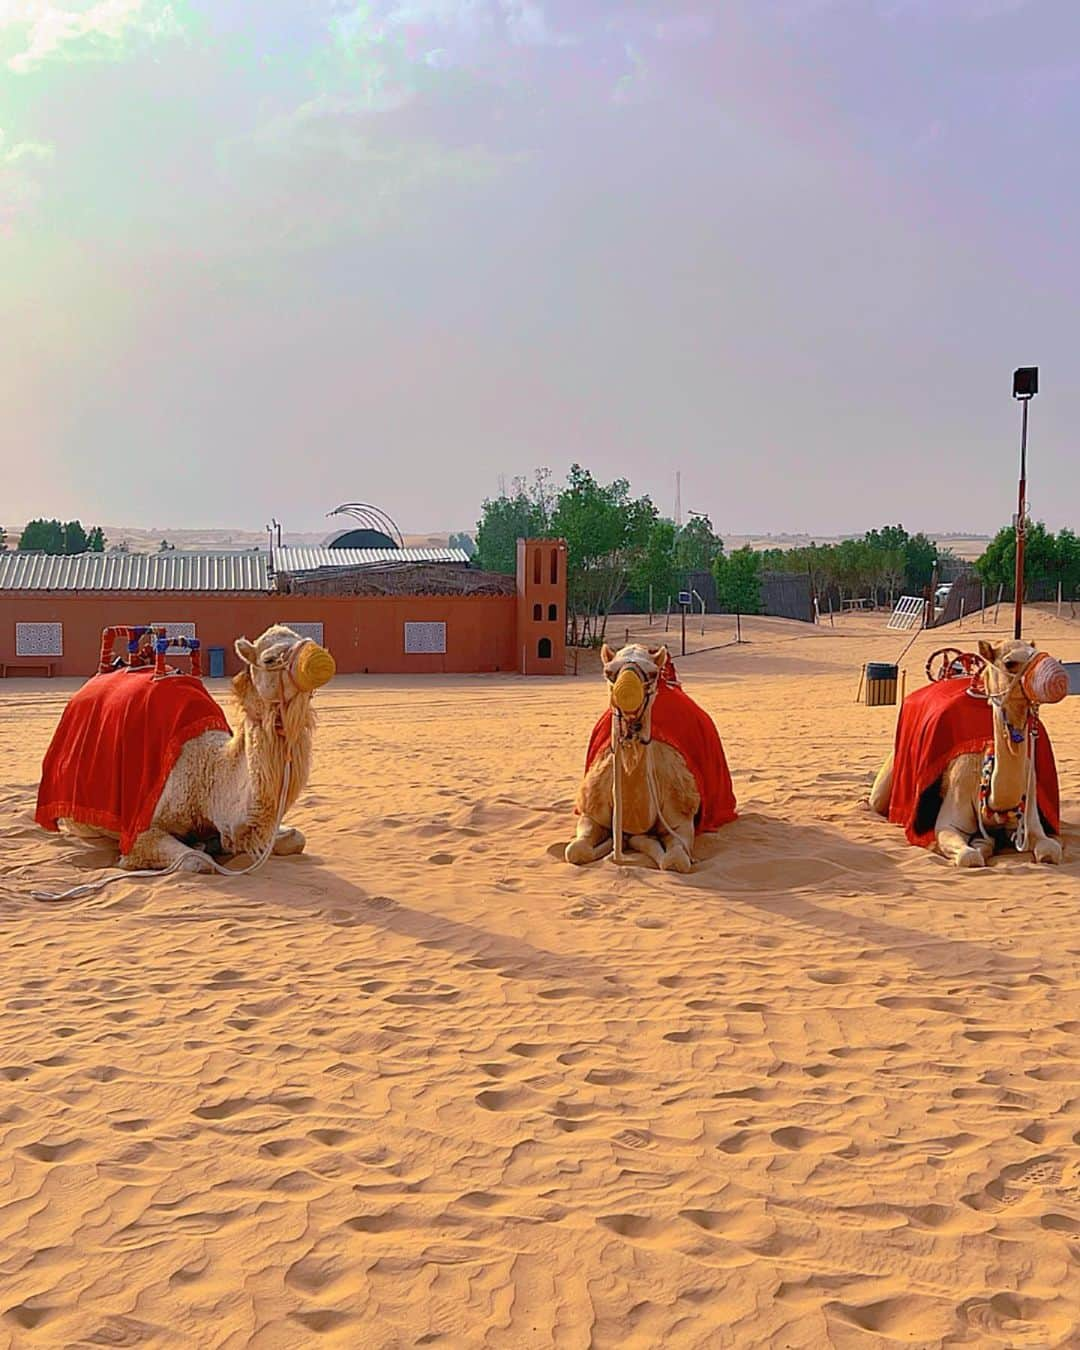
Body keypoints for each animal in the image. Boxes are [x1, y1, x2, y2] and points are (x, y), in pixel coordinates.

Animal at [36, 623, 333, 869]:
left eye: (304, 638)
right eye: (269, 658)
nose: (320, 659)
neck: (206, 773)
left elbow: (297, 838)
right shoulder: (140, 829)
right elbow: (196, 861)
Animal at [564, 645, 734, 874]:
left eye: (653, 674)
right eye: (608, 672)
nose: (626, 692)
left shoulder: (681, 820)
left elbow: (675, 860)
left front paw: (633, 842)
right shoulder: (591, 813)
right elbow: (576, 851)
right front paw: (614, 846)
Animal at [864, 639, 1069, 869]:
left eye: (1036, 651)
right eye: (1009, 662)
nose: (1057, 676)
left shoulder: (1031, 813)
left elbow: (1050, 851)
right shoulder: (950, 818)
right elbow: (969, 857)